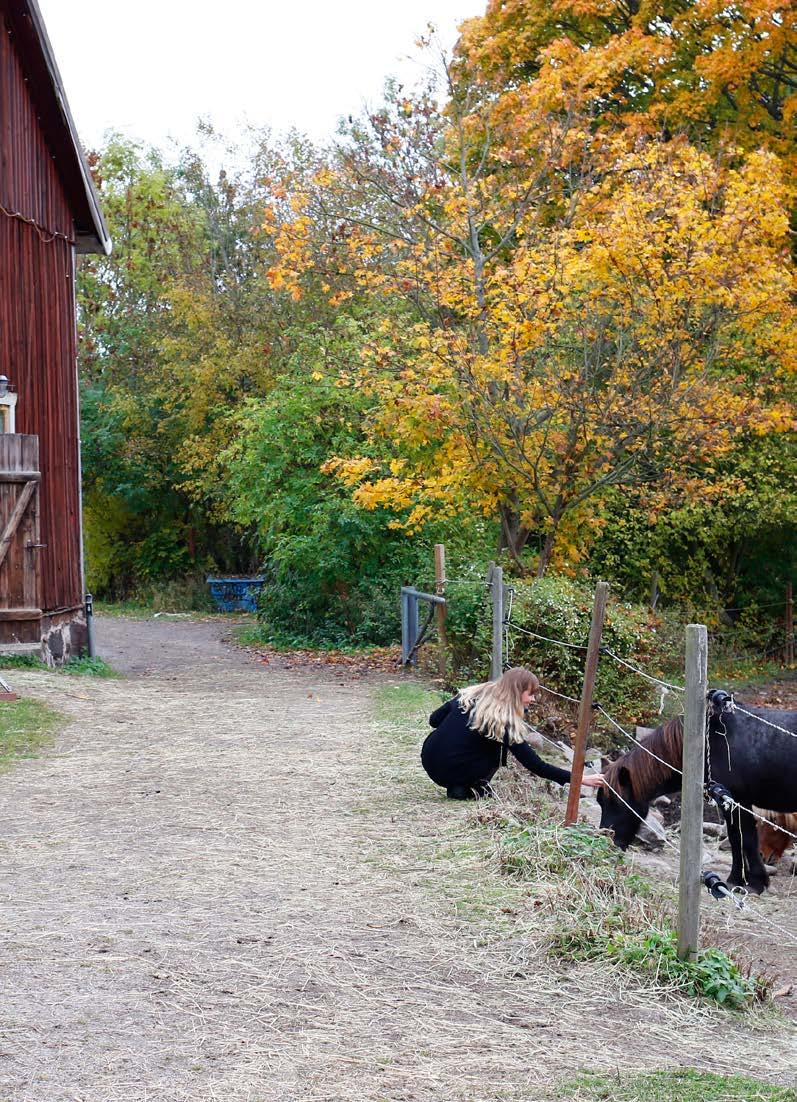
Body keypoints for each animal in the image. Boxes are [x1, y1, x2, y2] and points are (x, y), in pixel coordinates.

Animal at [599, 696, 797, 894]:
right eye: (600, 802)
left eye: (616, 802)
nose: (606, 839)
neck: (710, 742)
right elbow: (737, 839)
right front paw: (740, 879)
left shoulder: (737, 802)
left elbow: (744, 839)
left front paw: (753, 882)